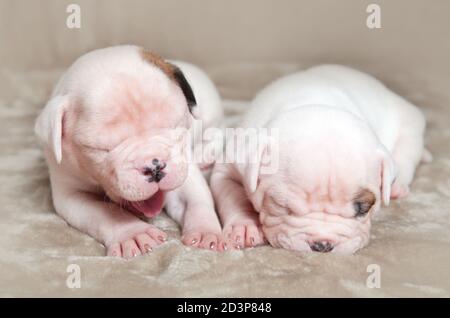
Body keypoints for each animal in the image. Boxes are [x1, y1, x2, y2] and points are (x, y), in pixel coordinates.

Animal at [35, 45, 225, 258]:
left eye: (175, 126)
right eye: (101, 149)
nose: (154, 166)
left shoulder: (183, 167)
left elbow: (196, 197)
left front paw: (205, 232)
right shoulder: (70, 193)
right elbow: (104, 212)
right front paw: (133, 233)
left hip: (210, 114)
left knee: (217, 132)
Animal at [210, 64, 428, 253]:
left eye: (363, 209)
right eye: (282, 206)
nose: (323, 245)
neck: (311, 101)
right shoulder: (227, 169)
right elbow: (233, 196)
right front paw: (244, 226)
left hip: (410, 121)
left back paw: (397, 184)